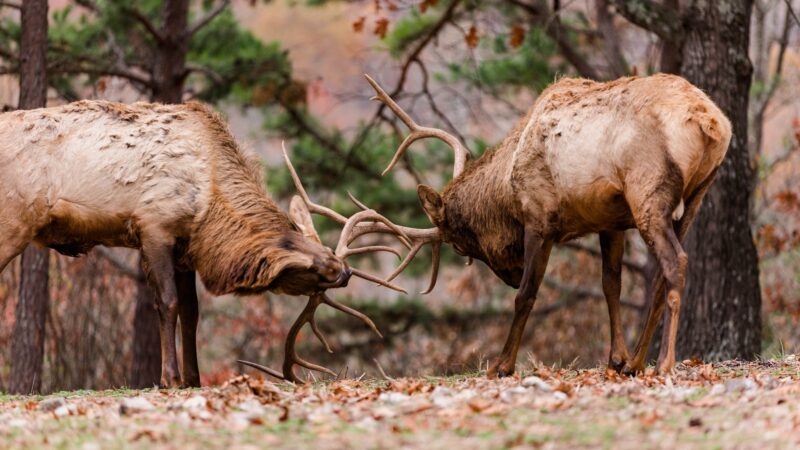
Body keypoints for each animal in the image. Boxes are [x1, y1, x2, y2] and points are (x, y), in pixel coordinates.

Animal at [0, 100, 404, 387]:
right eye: (309, 271)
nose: (345, 272)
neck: (208, 209)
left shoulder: (184, 251)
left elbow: (192, 313)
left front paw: (193, 379)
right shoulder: (154, 226)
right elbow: (168, 303)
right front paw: (170, 378)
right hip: (13, 222)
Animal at [356, 73, 731, 377]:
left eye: (459, 246)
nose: (510, 273)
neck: (506, 185)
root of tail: (712, 123)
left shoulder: (540, 218)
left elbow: (526, 295)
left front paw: (502, 365)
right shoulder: (610, 222)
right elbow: (611, 285)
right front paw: (617, 359)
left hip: (648, 192)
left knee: (676, 261)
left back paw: (664, 362)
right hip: (695, 197)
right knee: (662, 276)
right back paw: (638, 362)